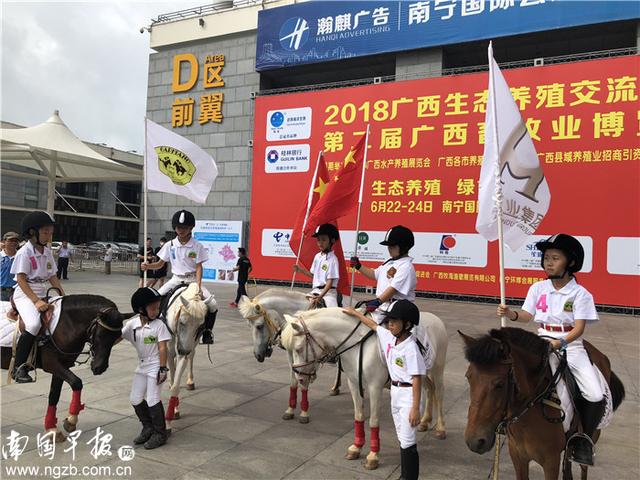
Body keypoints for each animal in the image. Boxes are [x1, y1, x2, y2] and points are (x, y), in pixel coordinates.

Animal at [1, 294, 133, 440]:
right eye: (100, 335)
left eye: (117, 337)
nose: (100, 367)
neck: (66, 324)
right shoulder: (52, 363)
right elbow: (76, 382)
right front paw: (70, 421)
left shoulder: (62, 366)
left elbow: (54, 395)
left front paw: (53, 428)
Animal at [162, 284, 218, 430]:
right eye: (182, 322)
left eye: (200, 326)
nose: (183, 350)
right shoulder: (170, 348)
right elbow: (172, 376)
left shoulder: (188, 346)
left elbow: (175, 385)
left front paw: (172, 415)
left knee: (192, 356)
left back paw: (190, 381)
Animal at [282, 308, 448, 468]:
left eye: (298, 349)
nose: (300, 378)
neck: (356, 344)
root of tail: (436, 319)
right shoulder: (354, 383)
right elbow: (359, 416)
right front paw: (356, 447)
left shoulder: (375, 387)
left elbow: (373, 421)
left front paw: (373, 456)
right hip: (421, 373)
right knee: (429, 390)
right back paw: (424, 422)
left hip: (437, 369)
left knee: (439, 394)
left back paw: (440, 428)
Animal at [460, 328, 624, 480]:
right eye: (468, 377)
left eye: (499, 384)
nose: (475, 441)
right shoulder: (517, 456)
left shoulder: (551, 462)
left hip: (593, 434)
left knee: (584, 467)